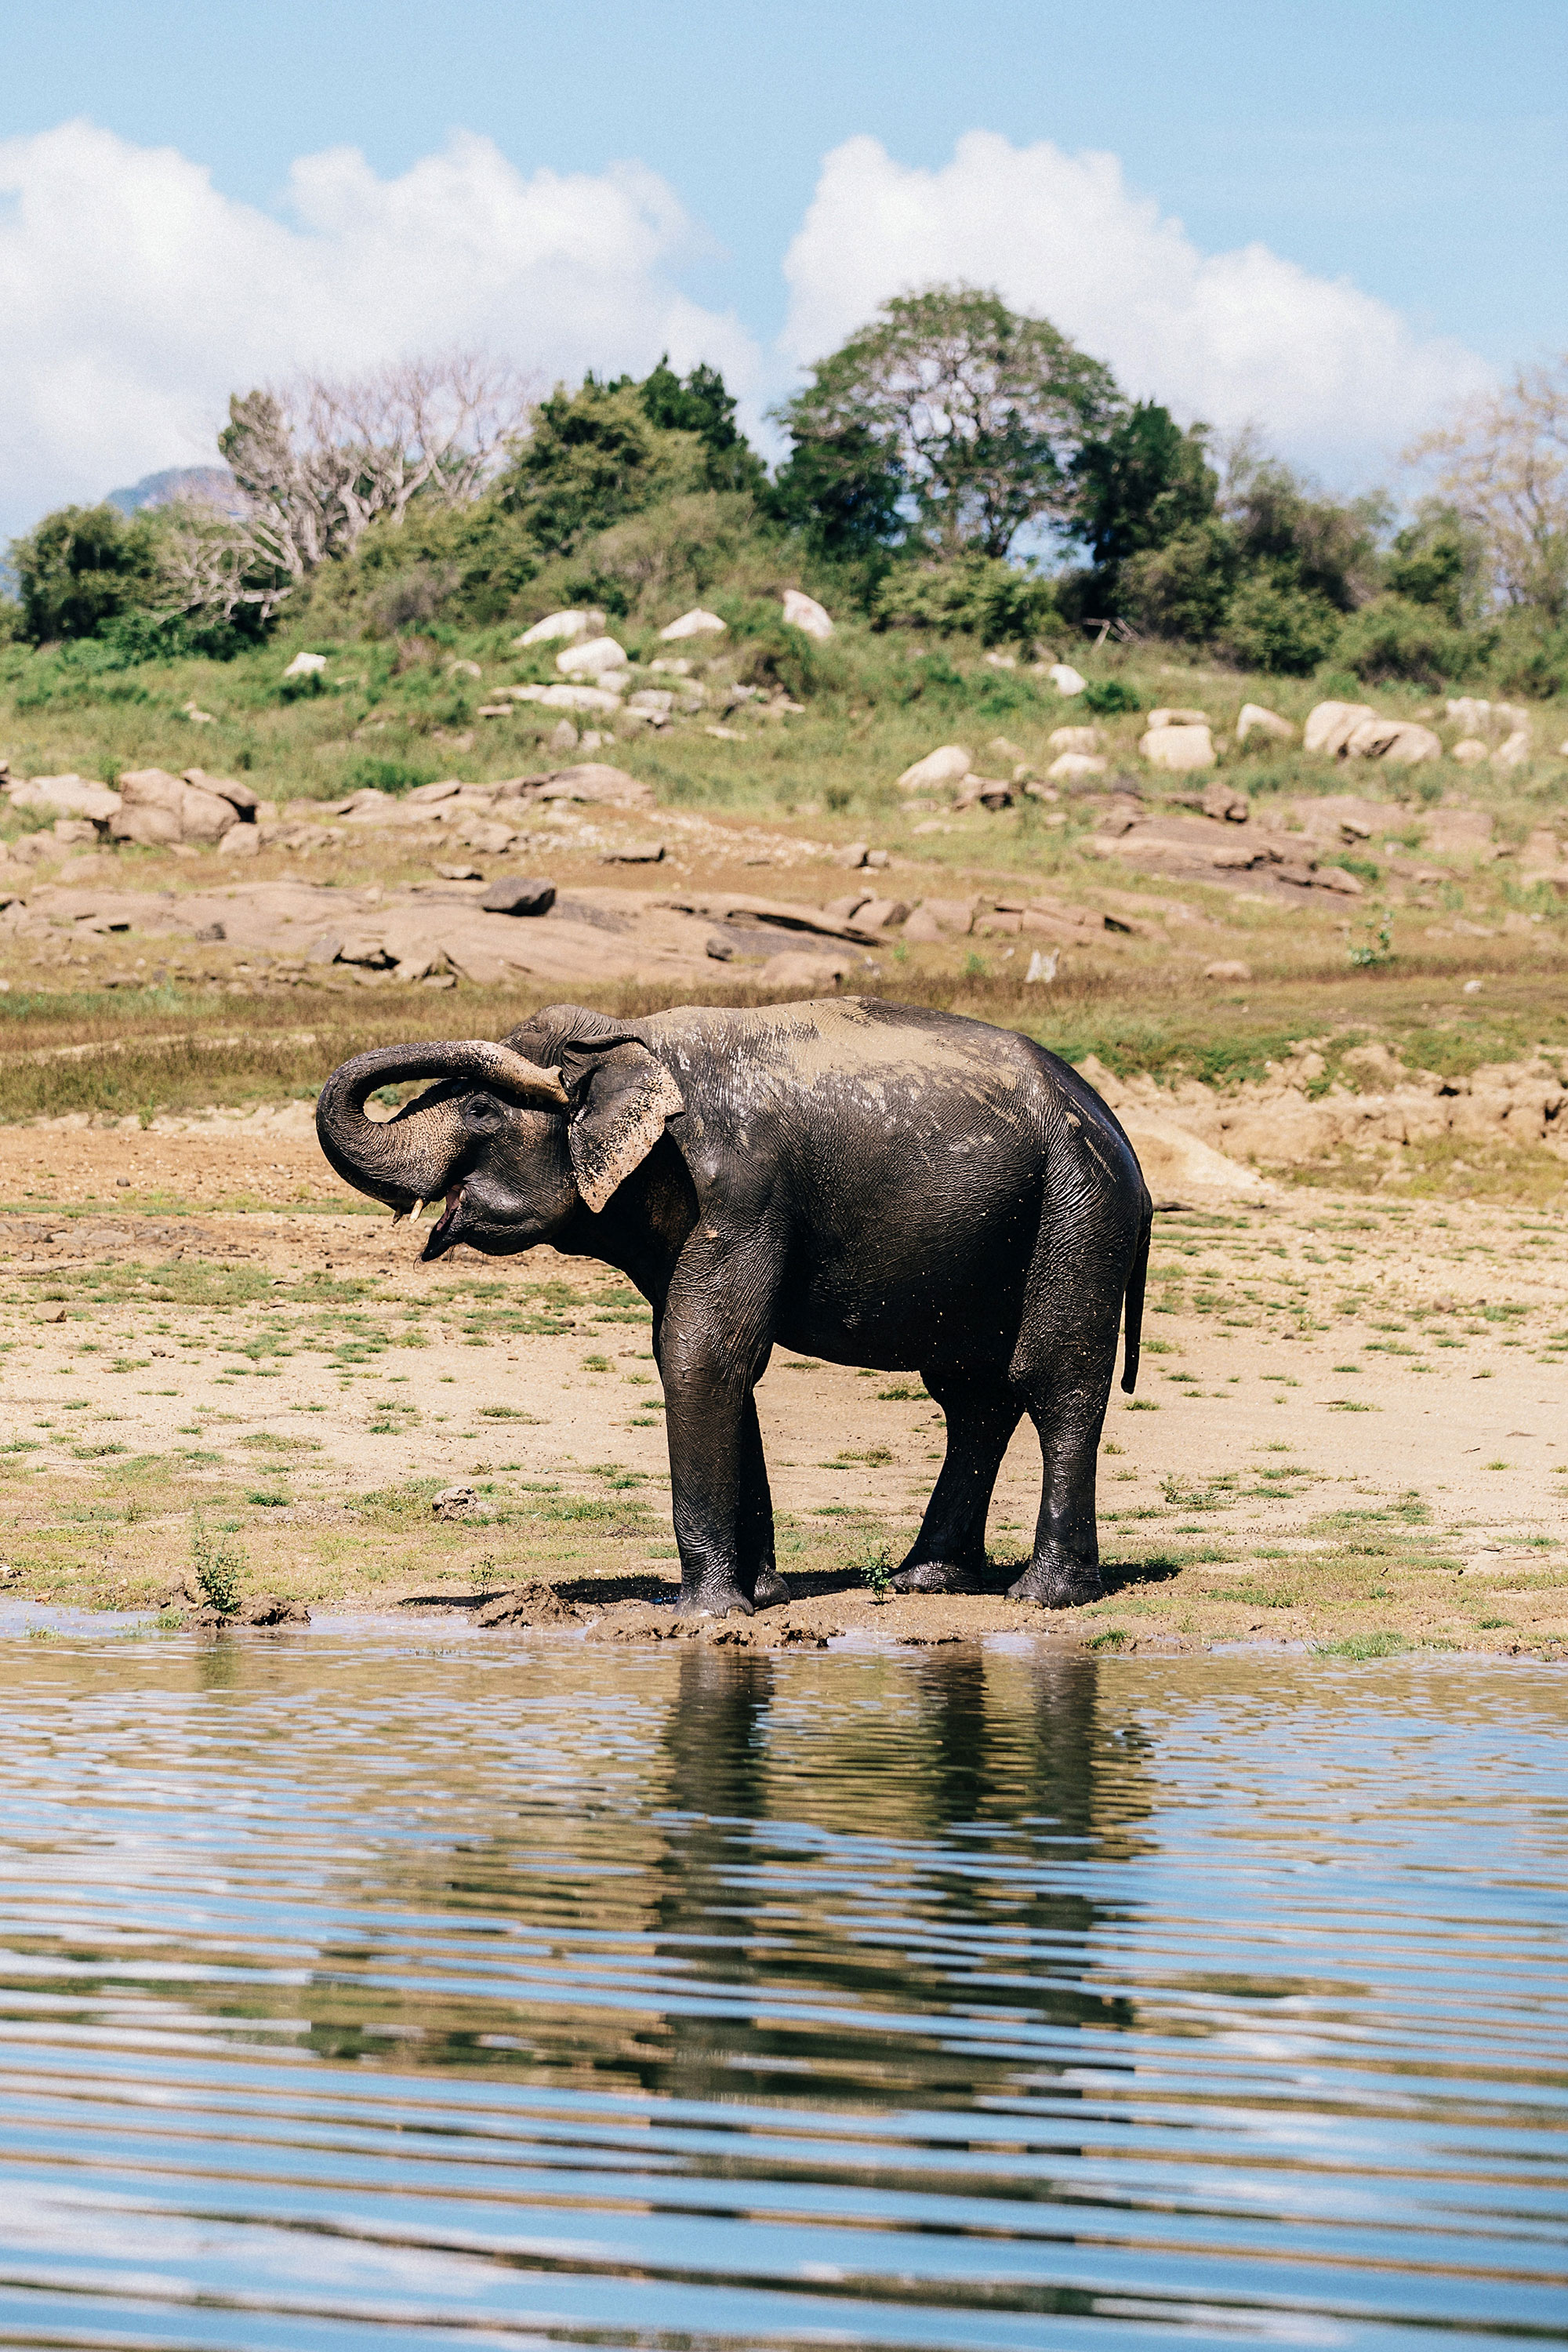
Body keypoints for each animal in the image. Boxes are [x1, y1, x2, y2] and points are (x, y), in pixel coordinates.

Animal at [316, 997, 1152, 1621]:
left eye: (483, 1111)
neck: (634, 1043)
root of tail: (1118, 1131)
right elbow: (713, 1360)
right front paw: (764, 1598)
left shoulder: (742, 1194)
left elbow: (701, 1353)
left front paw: (706, 1614)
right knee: (972, 1398)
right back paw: (928, 1582)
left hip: (1079, 1213)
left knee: (1053, 1382)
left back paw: (1045, 1598)